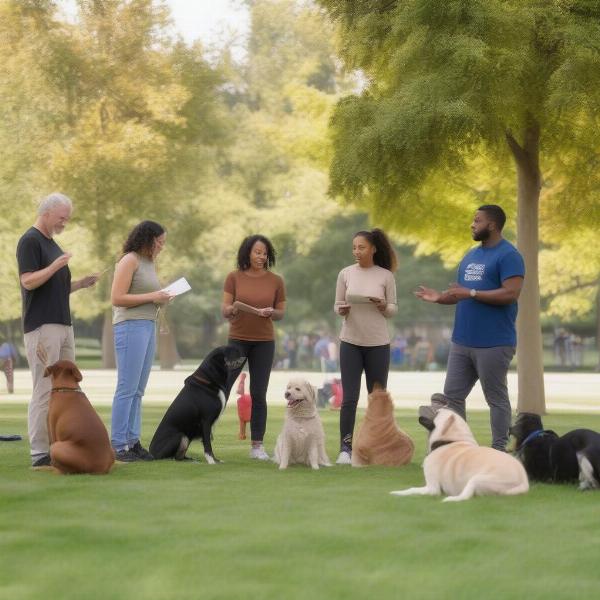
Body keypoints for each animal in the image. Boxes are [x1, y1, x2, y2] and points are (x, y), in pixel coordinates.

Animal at [392, 408, 528, 502]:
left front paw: (399, 493)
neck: (451, 440)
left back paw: (452, 499)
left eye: (436, 412)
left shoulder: (432, 488)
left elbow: (412, 490)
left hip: (478, 479)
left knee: (466, 496)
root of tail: (523, 482)